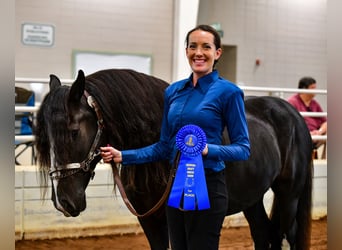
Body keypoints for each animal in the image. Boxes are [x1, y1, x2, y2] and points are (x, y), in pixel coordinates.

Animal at [34, 69, 312, 250]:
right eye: (46, 136)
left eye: (73, 131)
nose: (63, 202)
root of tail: (291, 113)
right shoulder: (148, 219)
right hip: (251, 197)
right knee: (262, 233)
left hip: (289, 195)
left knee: (285, 234)